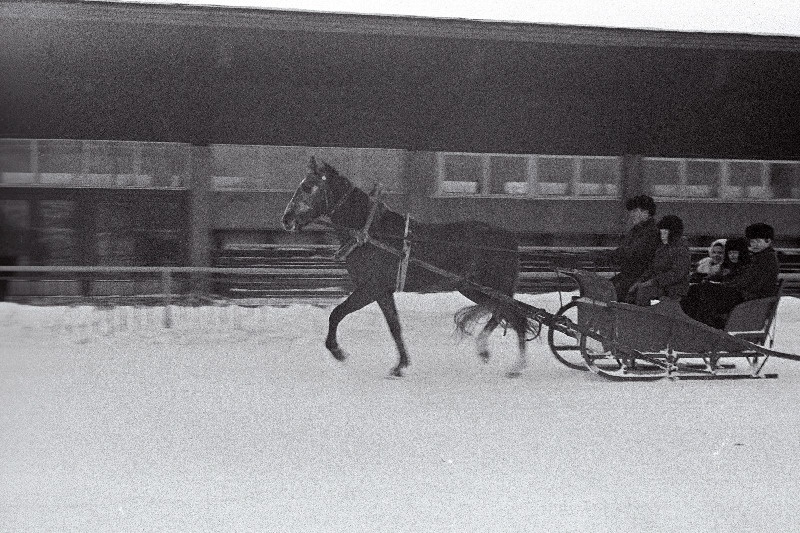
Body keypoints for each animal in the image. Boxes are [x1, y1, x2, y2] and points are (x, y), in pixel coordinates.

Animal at [278, 156, 536, 376]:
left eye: (308, 187)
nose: (286, 219)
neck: (372, 233)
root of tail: (509, 239)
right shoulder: (382, 291)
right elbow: (394, 326)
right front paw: (401, 364)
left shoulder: (370, 288)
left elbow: (337, 313)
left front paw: (337, 350)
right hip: (475, 289)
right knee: (505, 314)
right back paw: (494, 353)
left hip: (490, 288)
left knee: (515, 317)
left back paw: (513, 365)